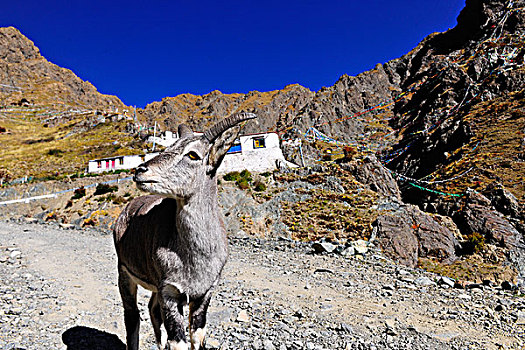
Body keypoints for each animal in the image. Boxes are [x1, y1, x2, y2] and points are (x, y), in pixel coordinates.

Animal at [112, 113, 256, 348]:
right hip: (124, 272)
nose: (140, 171)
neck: (194, 257)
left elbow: (197, 336)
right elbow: (178, 341)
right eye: (169, 147)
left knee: (152, 310)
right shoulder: (169, 291)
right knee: (132, 316)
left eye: (193, 154)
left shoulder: (203, 294)